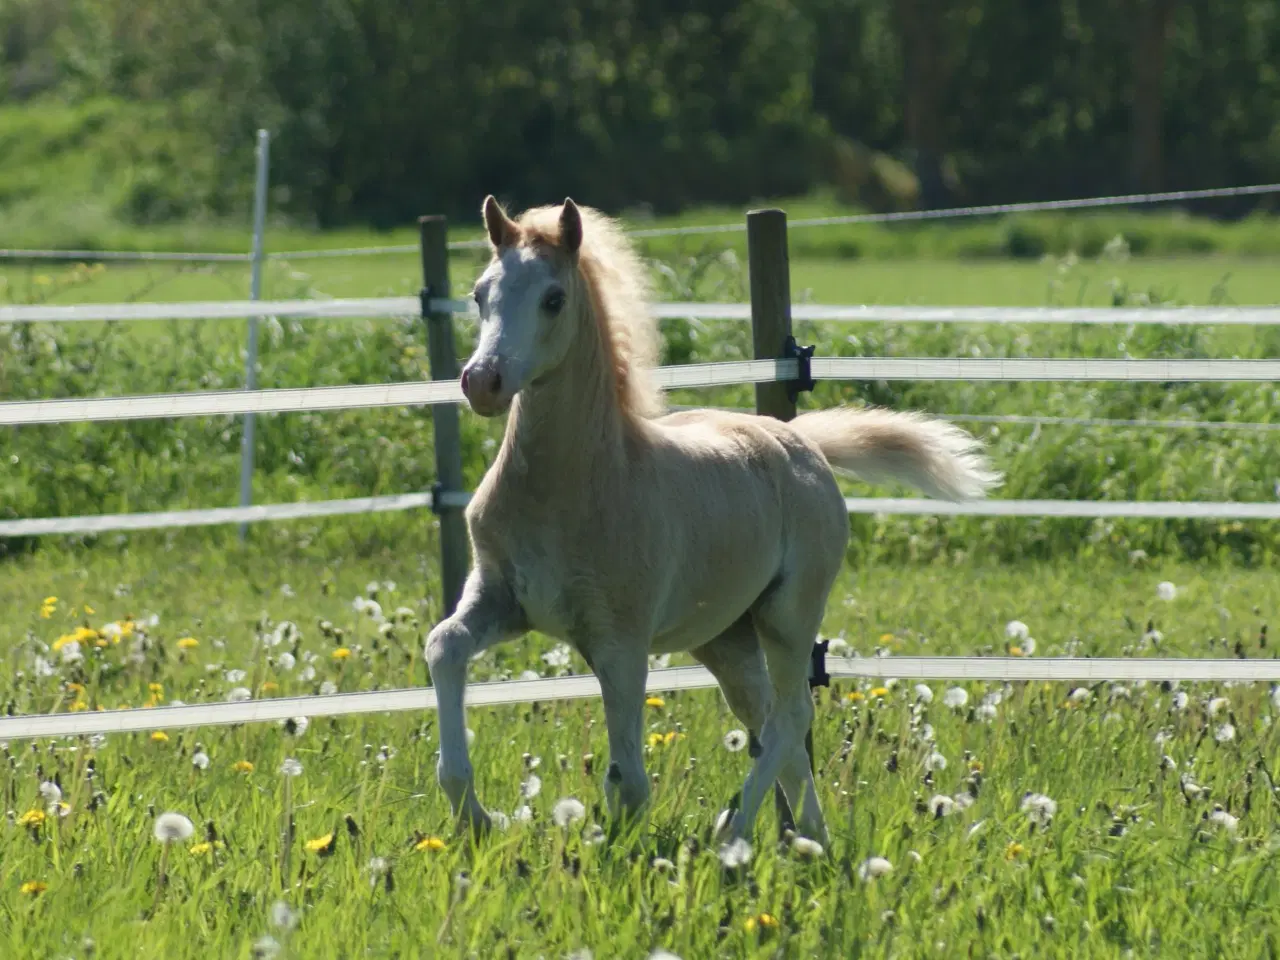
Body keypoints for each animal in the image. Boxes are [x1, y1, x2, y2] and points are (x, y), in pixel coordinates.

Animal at [424, 197, 993, 849]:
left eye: (553, 298)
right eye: (479, 293)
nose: (482, 381)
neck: (572, 487)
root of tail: (800, 440)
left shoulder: (621, 641)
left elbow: (629, 782)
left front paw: (616, 855)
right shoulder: (499, 598)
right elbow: (445, 645)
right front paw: (473, 815)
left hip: (787, 617)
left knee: (791, 714)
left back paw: (735, 830)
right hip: (725, 637)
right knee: (771, 722)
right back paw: (812, 840)